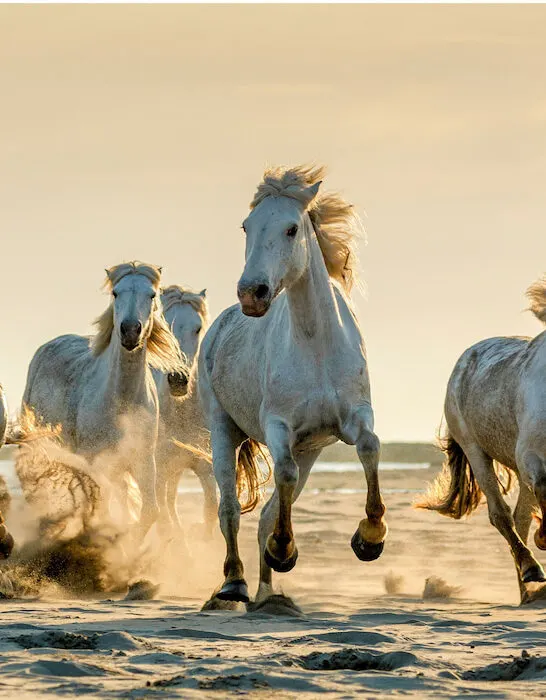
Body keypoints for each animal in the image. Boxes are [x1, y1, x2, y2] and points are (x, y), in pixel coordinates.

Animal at [21, 262, 185, 536]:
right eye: (115, 293)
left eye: (152, 295)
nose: (130, 331)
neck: (121, 402)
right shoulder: (95, 464)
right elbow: (101, 514)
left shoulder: (143, 463)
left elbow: (148, 512)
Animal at [153, 284, 217, 540]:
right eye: (164, 327)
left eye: (197, 328)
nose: (178, 379)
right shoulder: (158, 469)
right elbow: (164, 520)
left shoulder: (205, 465)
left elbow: (211, 510)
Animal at [198, 164, 384, 600]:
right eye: (246, 226)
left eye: (291, 229)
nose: (252, 294)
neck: (316, 345)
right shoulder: (279, 426)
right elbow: (282, 474)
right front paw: (284, 550)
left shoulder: (354, 417)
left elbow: (370, 447)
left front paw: (370, 538)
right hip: (222, 428)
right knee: (230, 509)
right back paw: (234, 582)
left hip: (311, 450)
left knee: (267, 512)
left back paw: (267, 594)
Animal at [420, 278, 544, 600]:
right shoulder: (531, 458)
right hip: (475, 451)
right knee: (501, 515)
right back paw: (531, 572)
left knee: (521, 518)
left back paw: (529, 593)